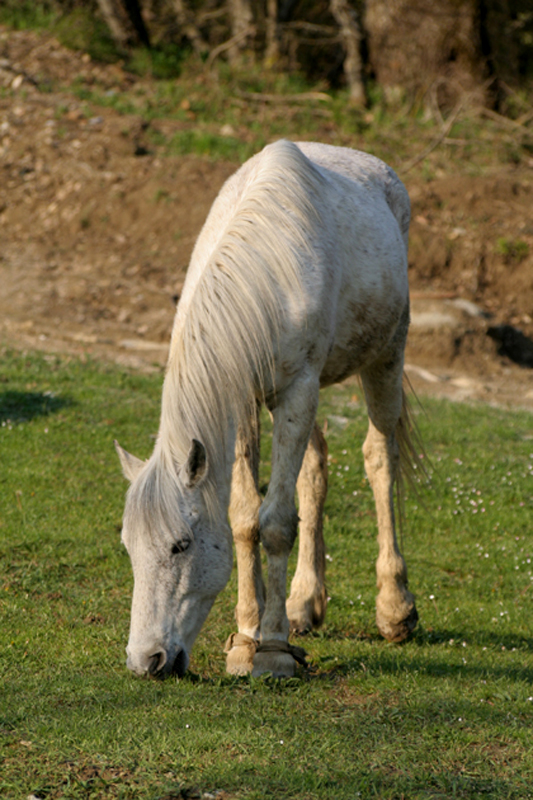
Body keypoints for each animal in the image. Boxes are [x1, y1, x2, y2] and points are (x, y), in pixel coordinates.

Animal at [115, 141, 420, 680]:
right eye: (130, 547)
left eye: (181, 545)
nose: (145, 660)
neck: (266, 277)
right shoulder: (247, 403)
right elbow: (244, 518)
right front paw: (245, 638)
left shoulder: (298, 392)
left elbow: (275, 523)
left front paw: (273, 649)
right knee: (315, 469)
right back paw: (304, 603)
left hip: (385, 358)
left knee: (380, 459)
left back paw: (394, 608)